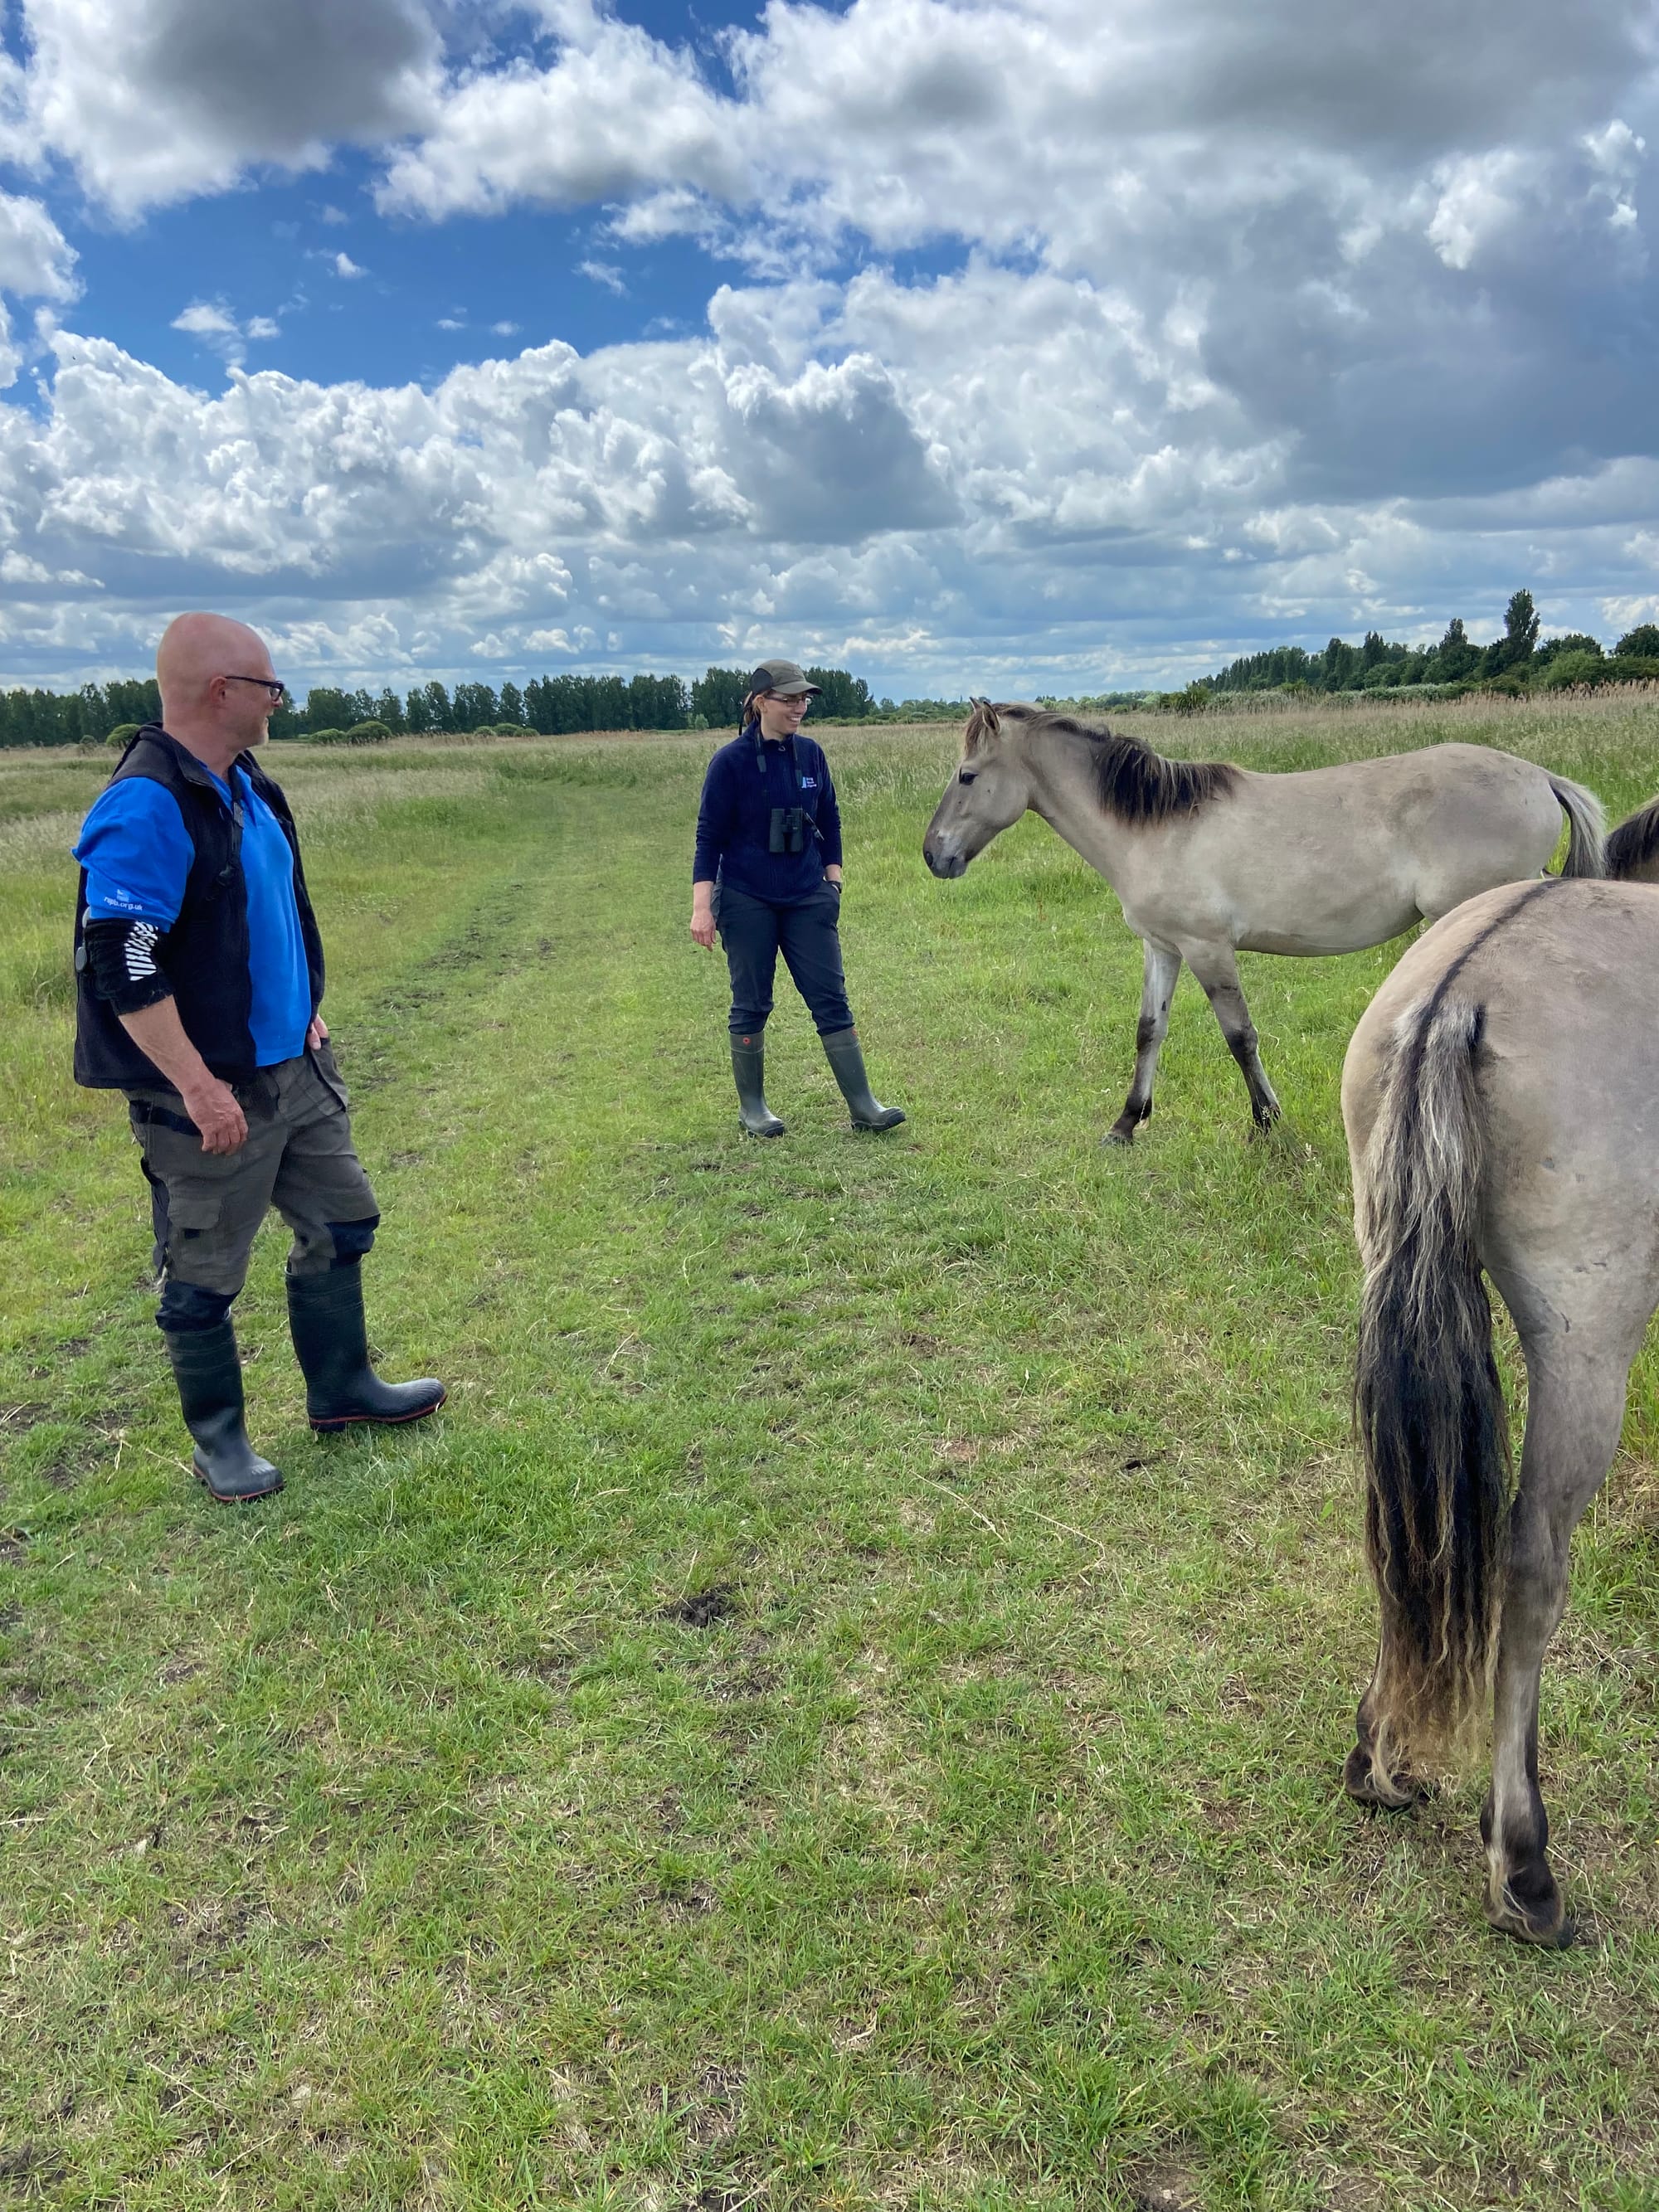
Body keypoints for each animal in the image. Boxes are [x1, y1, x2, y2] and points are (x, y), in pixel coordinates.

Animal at [916, 707, 1601, 1141]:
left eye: (967, 775)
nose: (933, 855)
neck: (1155, 827)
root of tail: (1540, 777)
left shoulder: (1208, 949)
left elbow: (1239, 1037)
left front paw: (1267, 1121)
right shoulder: (1161, 947)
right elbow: (1148, 1032)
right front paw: (1126, 1123)